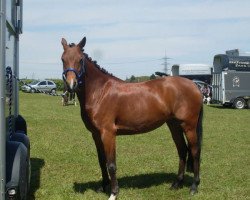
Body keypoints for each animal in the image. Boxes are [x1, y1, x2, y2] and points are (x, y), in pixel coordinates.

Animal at [60, 36, 203, 199]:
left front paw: (113, 192)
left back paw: (194, 186)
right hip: (174, 125)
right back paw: (176, 184)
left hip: (189, 126)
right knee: (182, 150)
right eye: (63, 59)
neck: (100, 92)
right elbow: (102, 161)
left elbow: (111, 164)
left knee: (195, 151)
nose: (71, 85)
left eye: (80, 59)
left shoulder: (108, 134)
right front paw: (103, 187)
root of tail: (194, 85)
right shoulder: (96, 135)